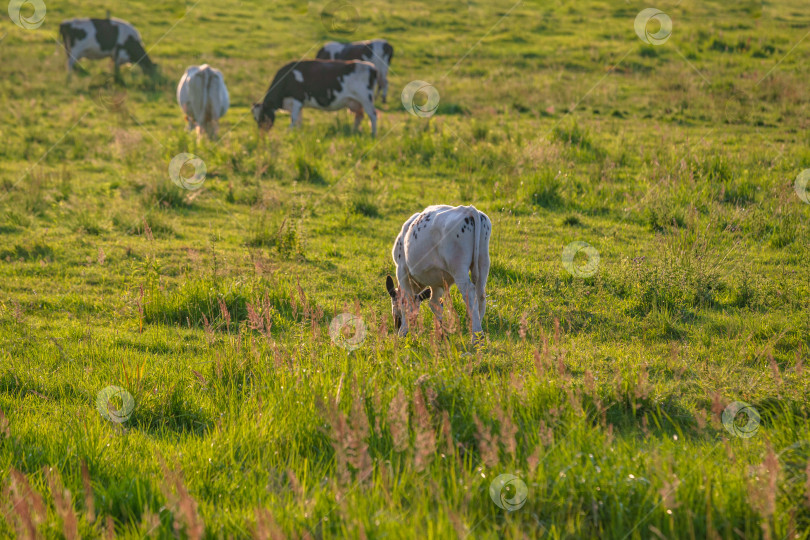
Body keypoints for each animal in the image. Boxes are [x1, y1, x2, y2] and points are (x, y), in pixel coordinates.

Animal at [386, 202, 492, 346]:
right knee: (480, 294)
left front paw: (403, 331)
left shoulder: (401, 270)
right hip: (483, 262)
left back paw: (476, 337)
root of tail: (467, 209)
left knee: (469, 293)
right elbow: (435, 304)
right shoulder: (437, 282)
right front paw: (441, 335)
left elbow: (406, 300)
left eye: (393, 303)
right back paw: (478, 330)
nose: (396, 325)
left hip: (458, 268)